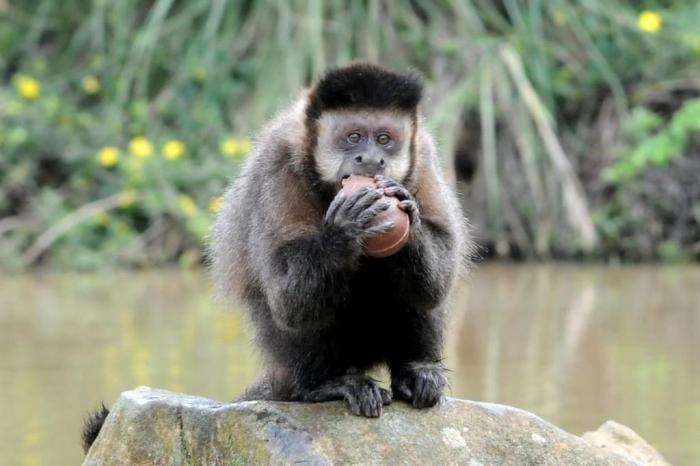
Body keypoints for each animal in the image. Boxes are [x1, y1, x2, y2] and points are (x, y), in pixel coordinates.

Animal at [85, 63, 474, 454]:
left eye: (383, 139)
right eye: (353, 138)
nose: (371, 159)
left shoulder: (424, 156)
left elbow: (437, 282)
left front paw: (406, 207)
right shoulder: (280, 164)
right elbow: (289, 303)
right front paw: (343, 229)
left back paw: (415, 370)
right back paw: (323, 385)